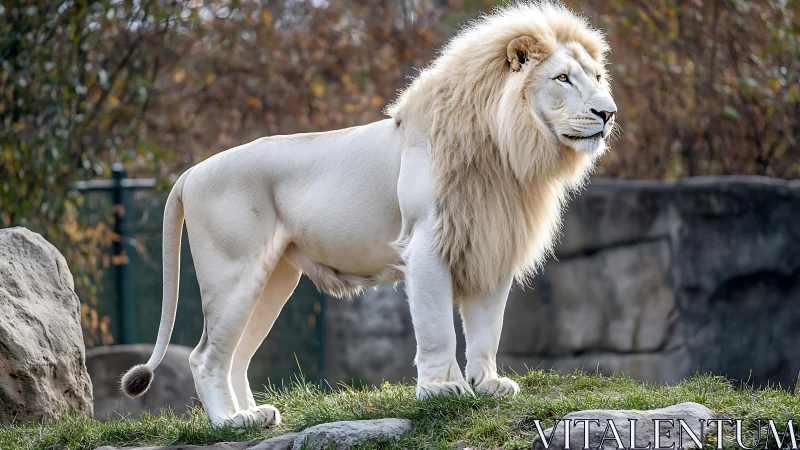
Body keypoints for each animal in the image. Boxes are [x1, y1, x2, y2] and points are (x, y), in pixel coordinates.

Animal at [120, 1, 617, 427]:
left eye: (596, 75)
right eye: (563, 78)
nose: (608, 113)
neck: (507, 152)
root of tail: (190, 173)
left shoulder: (490, 244)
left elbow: (486, 328)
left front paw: (488, 384)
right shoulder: (426, 243)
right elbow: (437, 326)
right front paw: (443, 390)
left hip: (272, 278)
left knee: (236, 354)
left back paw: (255, 415)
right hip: (233, 272)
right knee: (204, 356)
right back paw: (229, 422)